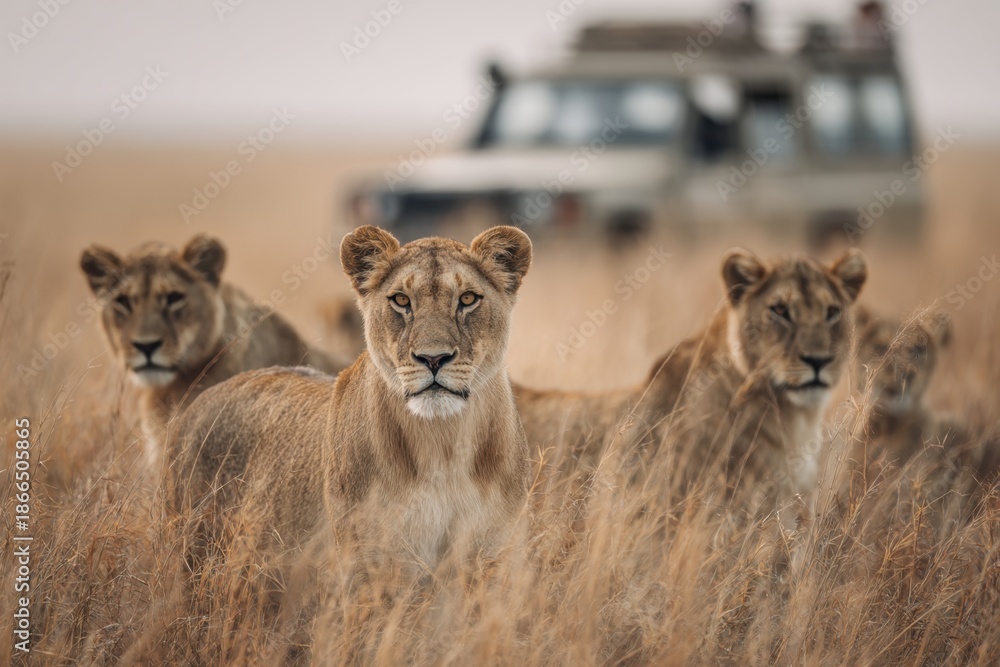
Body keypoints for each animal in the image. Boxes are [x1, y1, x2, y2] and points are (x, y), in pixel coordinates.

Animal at [169, 225, 532, 575]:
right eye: (401, 300)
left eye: (468, 298)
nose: (433, 358)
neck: (443, 443)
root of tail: (198, 402)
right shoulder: (368, 561)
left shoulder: (493, 555)